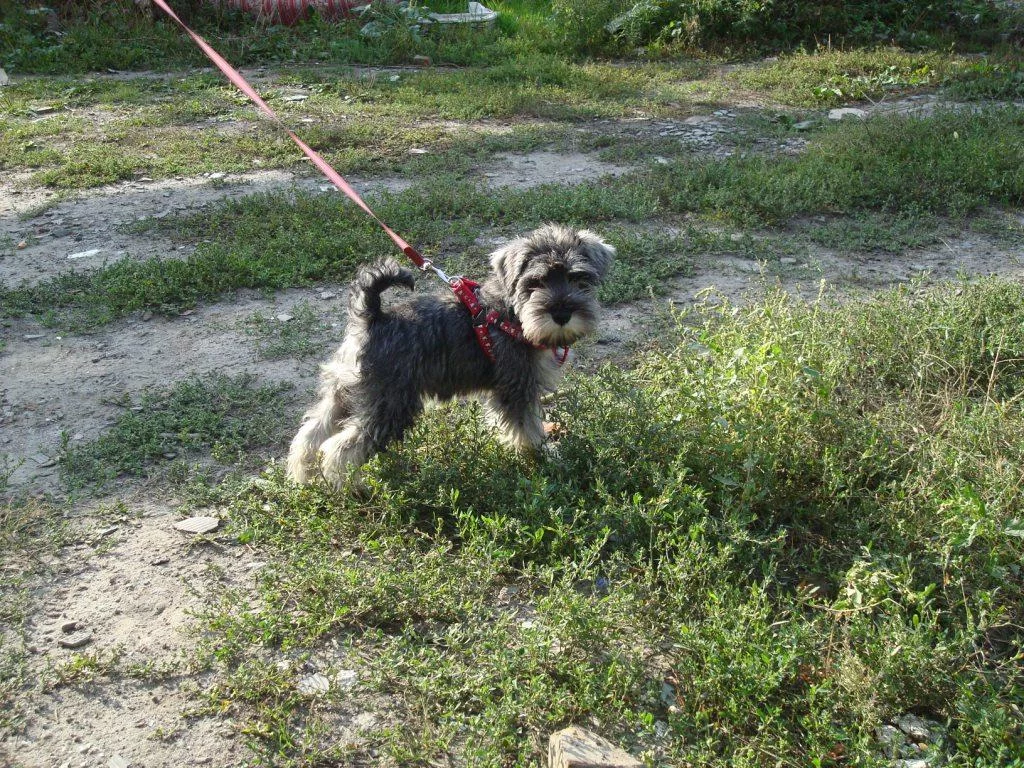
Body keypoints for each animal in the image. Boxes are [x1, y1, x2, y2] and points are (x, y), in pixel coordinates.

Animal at [286, 223, 615, 487]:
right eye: (535, 282)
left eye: (578, 278)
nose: (561, 313)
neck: (512, 315)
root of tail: (370, 318)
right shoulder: (517, 390)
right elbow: (529, 430)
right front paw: (545, 459)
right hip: (390, 405)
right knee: (340, 448)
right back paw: (350, 487)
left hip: (344, 393)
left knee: (310, 435)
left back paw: (304, 478)